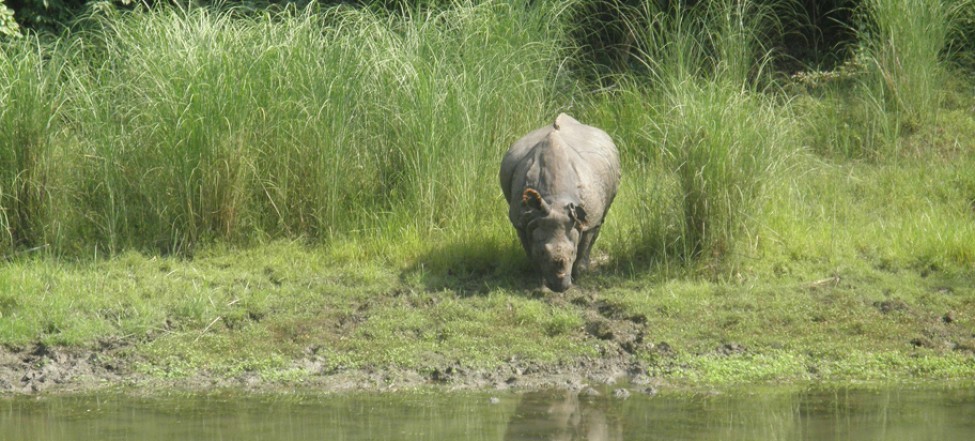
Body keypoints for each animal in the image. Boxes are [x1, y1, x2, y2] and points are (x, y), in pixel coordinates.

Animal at [500, 113, 620, 292]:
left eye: (572, 253)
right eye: (543, 252)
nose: (559, 287)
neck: (555, 201)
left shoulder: (587, 219)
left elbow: (584, 243)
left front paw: (579, 274)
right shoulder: (522, 220)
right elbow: (530, 248)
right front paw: (539, 278)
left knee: (600, 221)